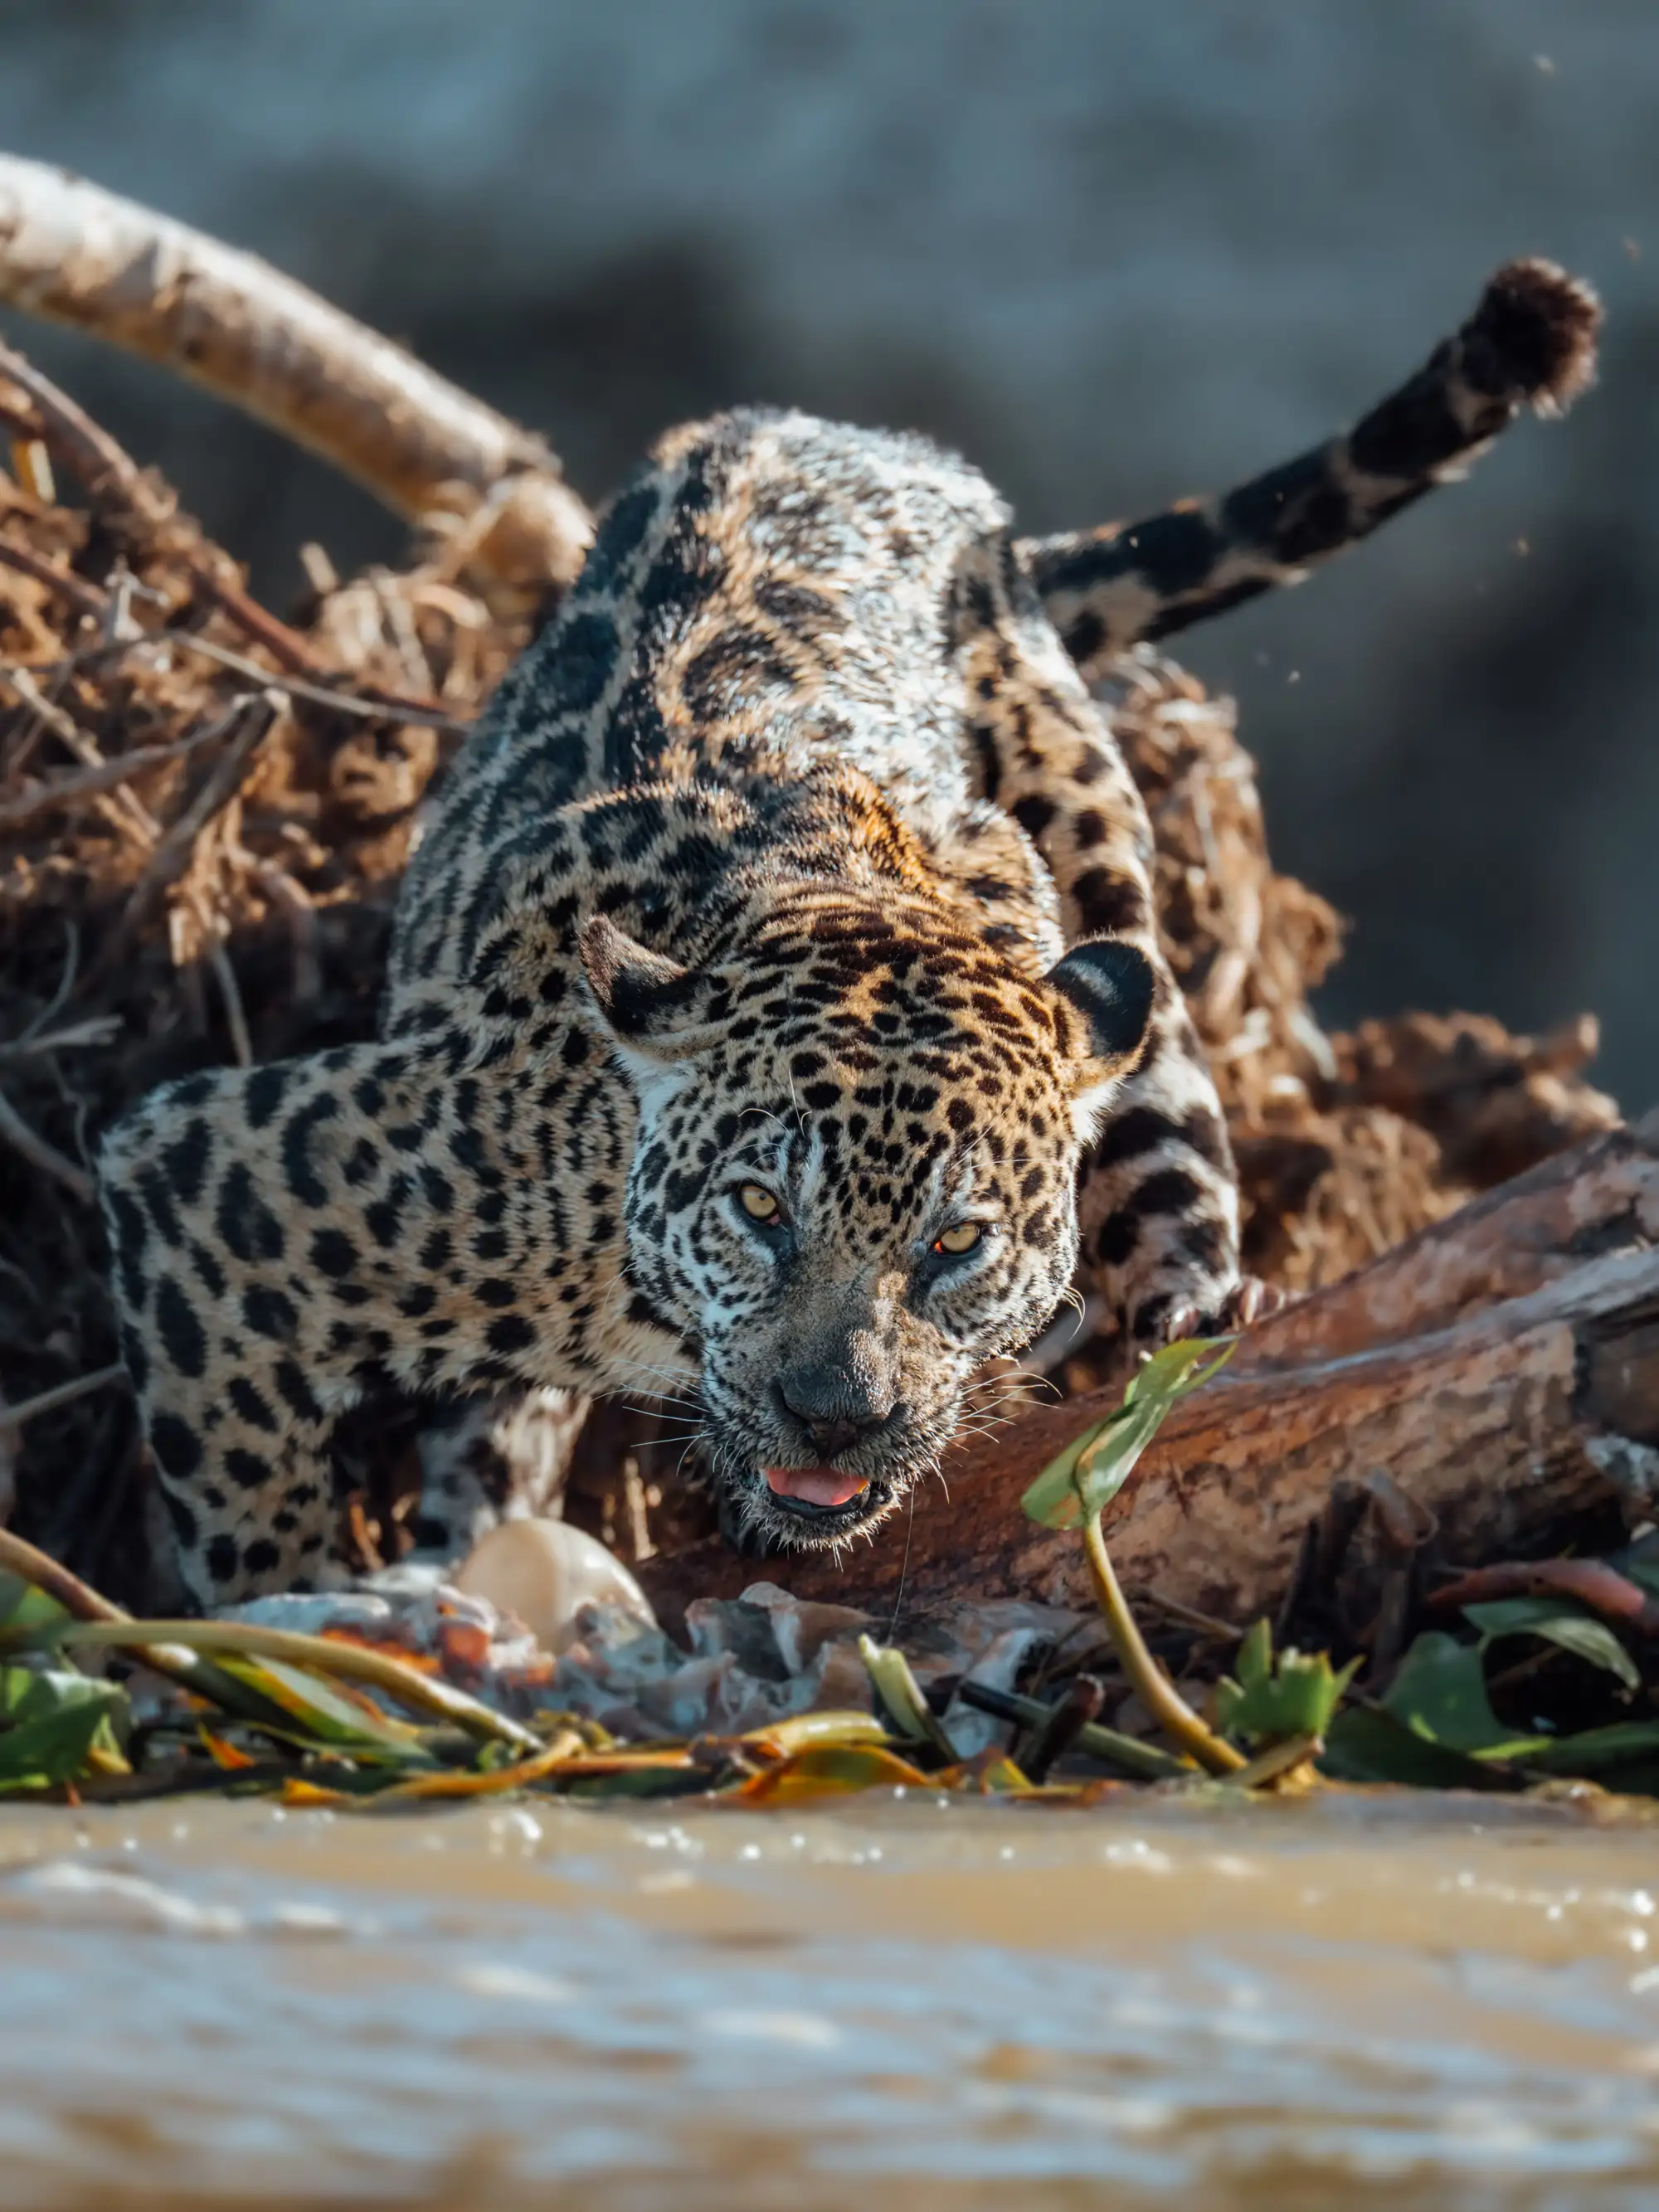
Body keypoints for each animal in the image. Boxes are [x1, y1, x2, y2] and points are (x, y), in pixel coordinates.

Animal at [98, 258, 1599, 1608]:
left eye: (957, 1243)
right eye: (759, 1209)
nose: (835, 1413)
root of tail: (889, 452)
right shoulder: (214, 1191)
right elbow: (244, 1516)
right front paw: (283, 1626)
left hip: (1089, 846)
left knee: (1162, 1075)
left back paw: (1195, 1311)